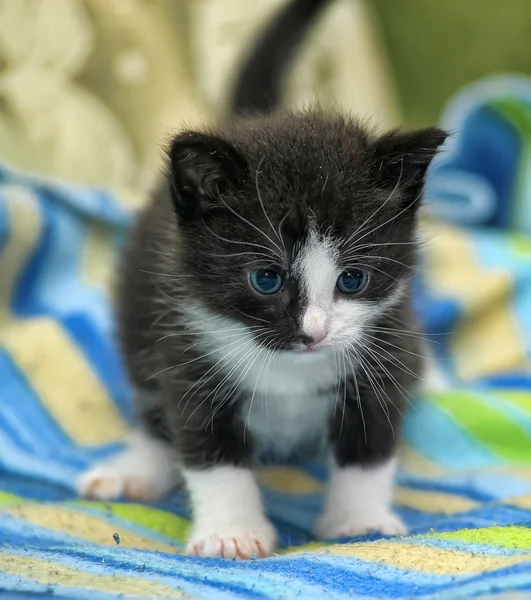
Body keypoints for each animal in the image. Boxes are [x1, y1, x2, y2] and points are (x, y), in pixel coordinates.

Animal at [77, 0, 446, 556]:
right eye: (267, 280)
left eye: (352, 280)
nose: (313, 333)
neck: (290, 369)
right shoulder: (187, 351)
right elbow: (210, 451)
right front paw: (232, 533)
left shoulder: (385, 346)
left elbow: (370, 444)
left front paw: (358, 520)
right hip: (138, 322)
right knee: (154, 411)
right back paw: (137, 467)